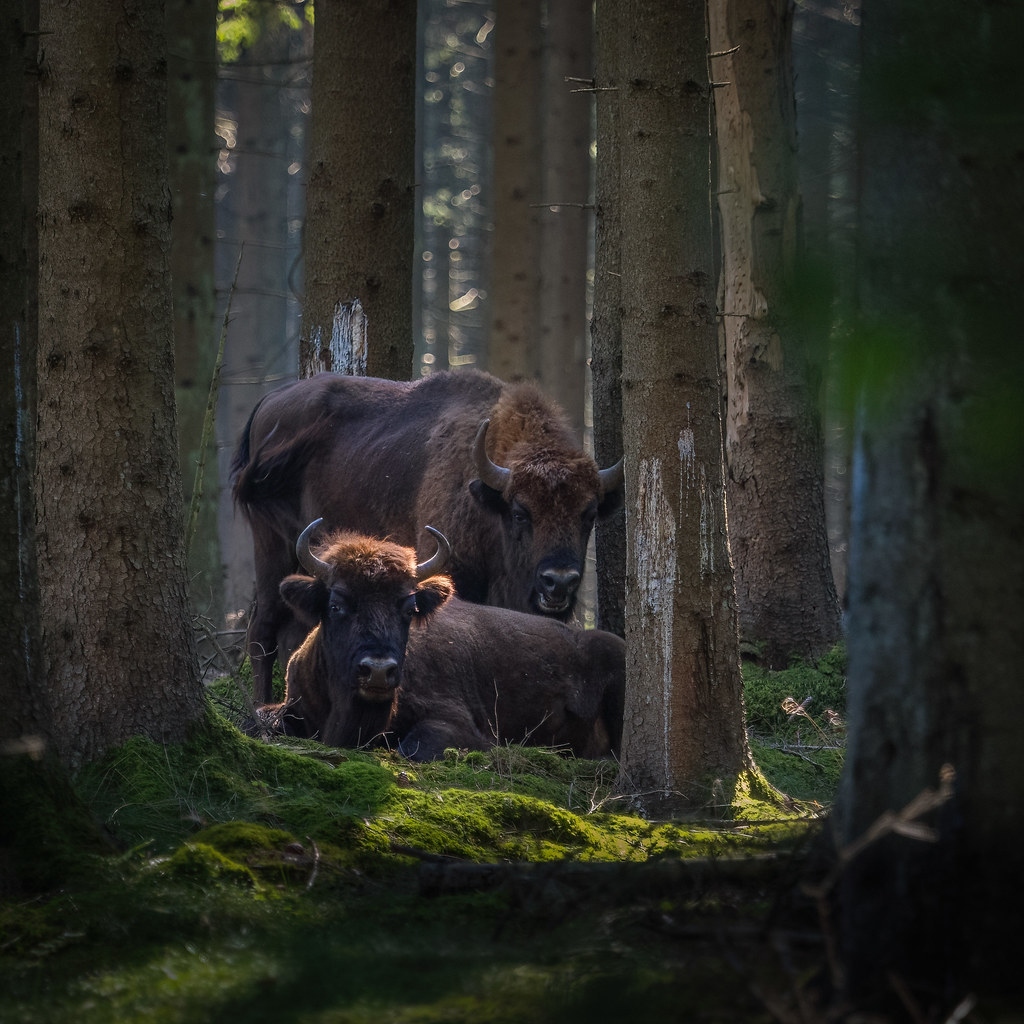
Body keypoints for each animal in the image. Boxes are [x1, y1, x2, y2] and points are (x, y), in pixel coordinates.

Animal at [232, 369, 623, 702]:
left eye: (589, 514)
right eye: (519, 512)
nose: (560, 581)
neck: (484, 499)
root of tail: (269, 402)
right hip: (273, 546)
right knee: (263, 630)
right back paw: (260, 710)